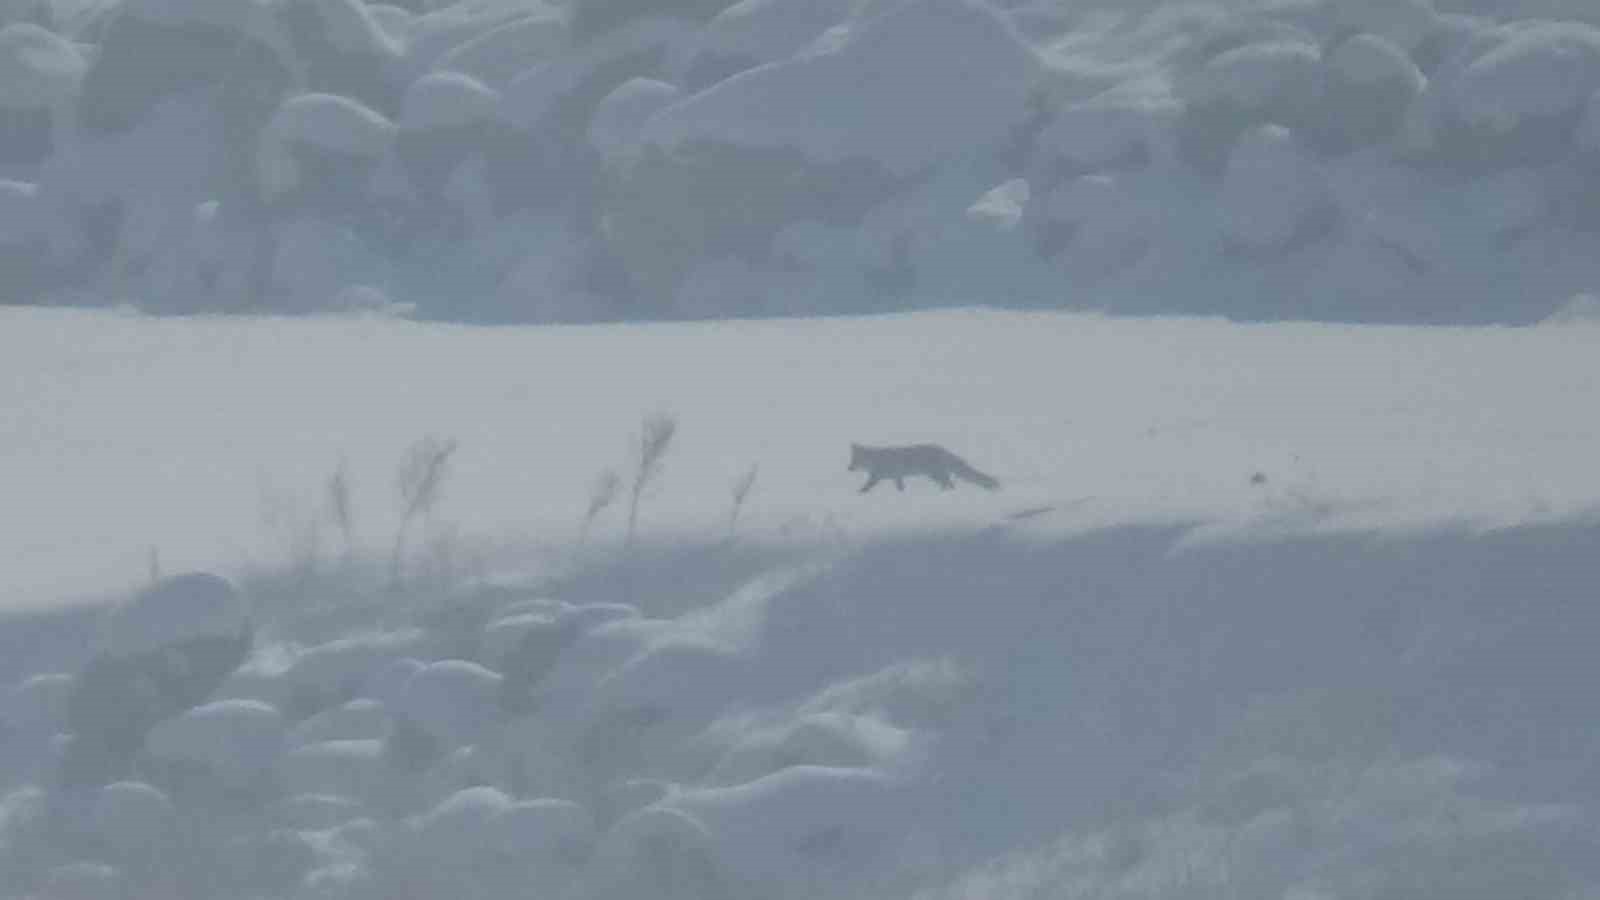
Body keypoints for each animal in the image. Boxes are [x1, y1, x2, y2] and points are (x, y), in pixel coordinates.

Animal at [851, 441, 998, 490]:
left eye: (855, 461)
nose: (848, 468)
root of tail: (943, 450)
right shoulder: (896, 477)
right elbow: (900, 487)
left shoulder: (877, 477)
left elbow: (866, 487)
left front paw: (859, 494)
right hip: (935, 475)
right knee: (949, 483)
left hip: (935, 474)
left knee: (949, 483)